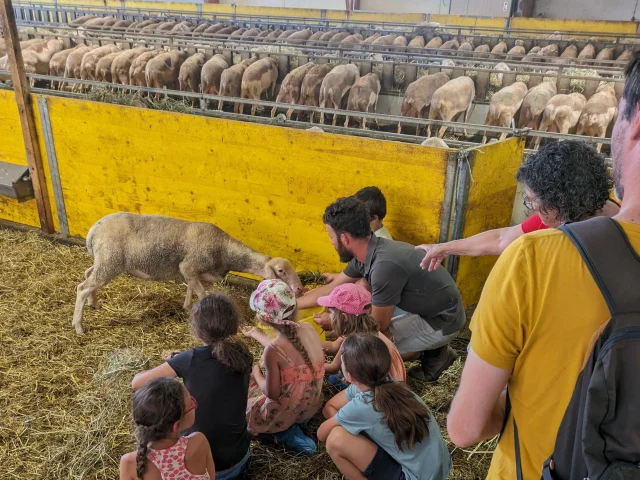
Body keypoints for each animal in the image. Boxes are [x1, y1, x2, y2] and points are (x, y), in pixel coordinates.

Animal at [73, 213, 304, 334]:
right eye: (281, 271)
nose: (301, 288)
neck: (224, 249)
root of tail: (94, 230)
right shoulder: (189, 266)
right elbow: (201, 294)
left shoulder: (196, 273)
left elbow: (191, 289)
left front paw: (186, 307)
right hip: (110, 262)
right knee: (82, 288)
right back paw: (79, 326)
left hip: (104, 261)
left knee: (87, 274)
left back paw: (94, 303)